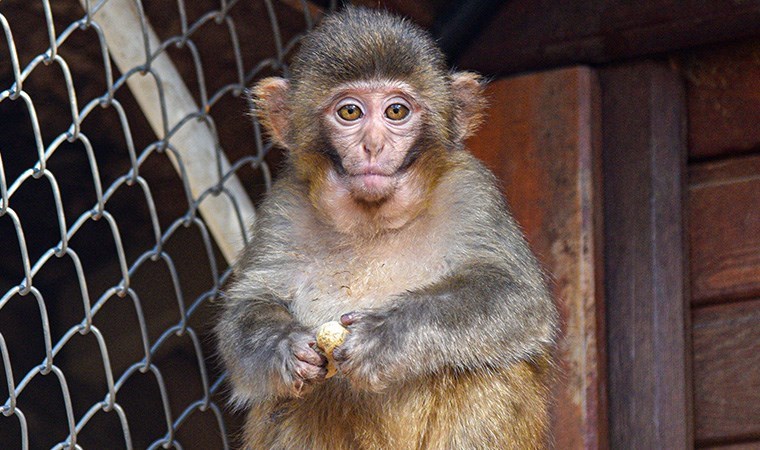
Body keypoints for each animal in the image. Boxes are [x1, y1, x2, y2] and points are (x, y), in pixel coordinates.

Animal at [214, 6, 560, 450]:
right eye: (350, 112)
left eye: (396, 111)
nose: (373, 145)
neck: (372, 222)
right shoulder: (283, 208)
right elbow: (246, 308)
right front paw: (282, 347)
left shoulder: (471, 191)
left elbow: (517, 296)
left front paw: (386, 336)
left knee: (486, 369)